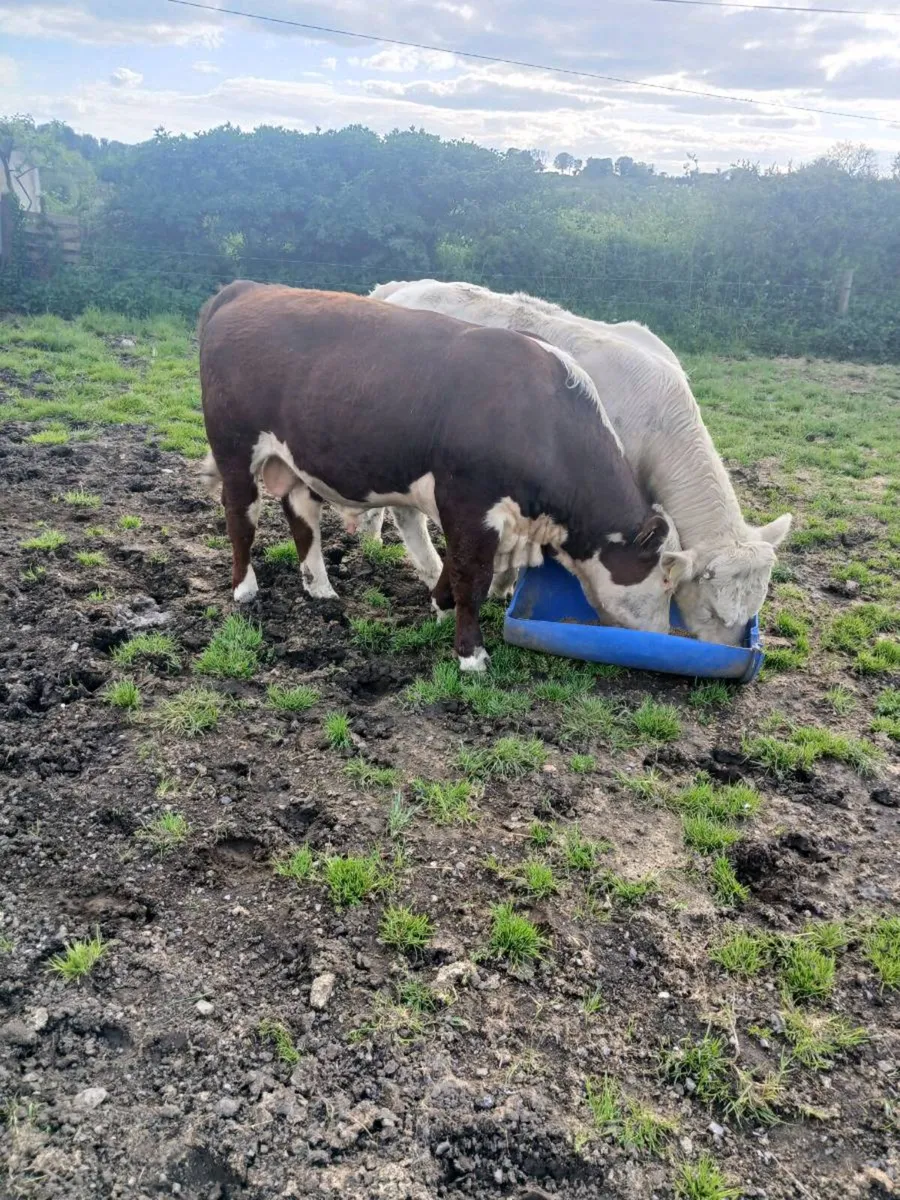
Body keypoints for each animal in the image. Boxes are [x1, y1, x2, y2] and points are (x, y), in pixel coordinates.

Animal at [198, 281, 674, 671]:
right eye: (668, 580)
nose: (666, 636)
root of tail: (248, 288)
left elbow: (460, 568)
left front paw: (440, 604)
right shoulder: (469, 502)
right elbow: (470, 573)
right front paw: (471, 653)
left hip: (295, 461)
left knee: (302, 519)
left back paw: (320, 588)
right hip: (235, 449)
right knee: (241, 518)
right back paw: (245, 588)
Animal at [365, 279, 792, 645]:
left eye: (752, 612)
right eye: (713, 611)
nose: (732, 652)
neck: (660, 420)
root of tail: (399, 289)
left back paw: (372, 535)